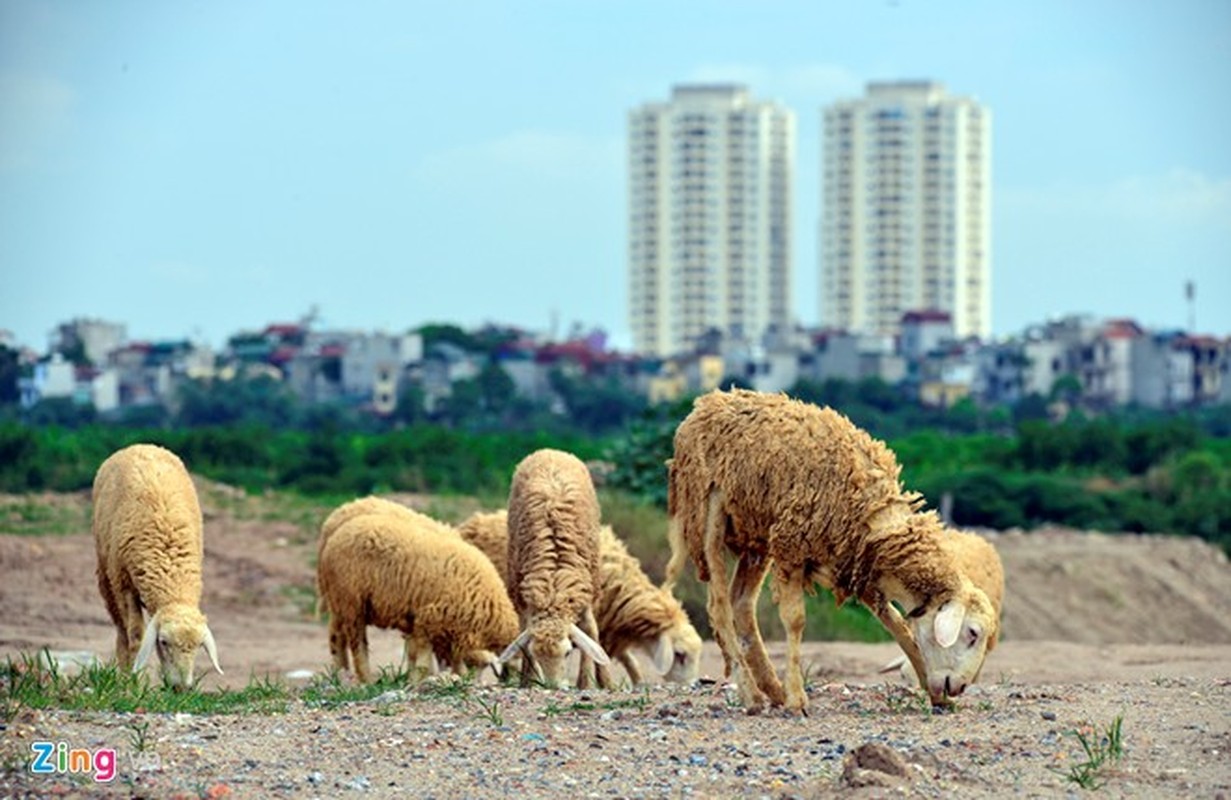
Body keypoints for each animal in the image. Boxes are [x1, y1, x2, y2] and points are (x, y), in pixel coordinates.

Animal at [94, 438, 225, 689]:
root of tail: (140, 445)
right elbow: (136, 635)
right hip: (106, 574)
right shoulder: (124, 582)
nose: (181, 688)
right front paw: (135, 684)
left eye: (198, 646)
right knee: (120, 628)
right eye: (163, 642)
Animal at [317, 512, 514, 679]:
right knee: (357, 646)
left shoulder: (433, 628)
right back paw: (365, 681)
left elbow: (425, 658)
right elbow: (424, 663)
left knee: (337, 637)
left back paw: (342, 675)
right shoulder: (428, 620)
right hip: (351, 602)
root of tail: (335, 536)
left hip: (341, 603)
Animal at [457, 507, 704, 684]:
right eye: (680, 655)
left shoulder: (607, 627)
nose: (692, 684)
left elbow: (620, 659)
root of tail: (470, 523)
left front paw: (633, 683)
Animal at [497, 448, 613, 684]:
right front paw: (528, 680)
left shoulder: (585, 595)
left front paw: (593, 682)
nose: (552, 686)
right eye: (535, 654)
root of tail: (550, 451)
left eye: (568, 652)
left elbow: (591, 633)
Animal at [664, 388, 999, 708]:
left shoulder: (859, 563)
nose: (959, 688)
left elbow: (895, 623)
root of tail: (705, 404)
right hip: (707, 510)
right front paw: (797, 699)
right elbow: (795, 620)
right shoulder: (793, 545)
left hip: (758, 534)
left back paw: (771, 688)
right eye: (972, 634)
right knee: (719, 607)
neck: (874, 515)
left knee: (742, 603)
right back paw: (752, 695)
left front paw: (935, 694)